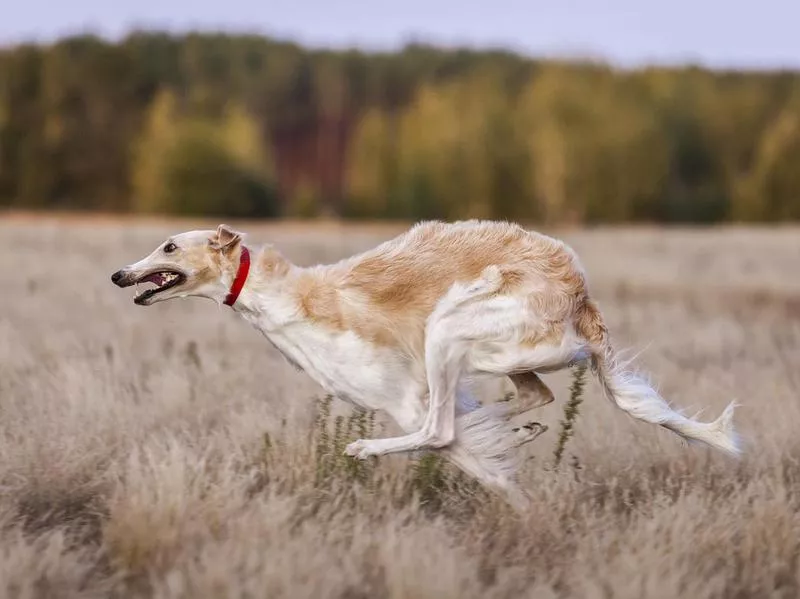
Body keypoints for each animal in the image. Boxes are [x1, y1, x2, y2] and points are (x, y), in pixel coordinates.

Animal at [109, 220, 740, 510]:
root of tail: (583, 302)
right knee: (532, 399)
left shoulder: (403, 397)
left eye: (169, 247)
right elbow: (475, 437)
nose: (118, 274)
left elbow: (455, 444)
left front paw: (524, 510)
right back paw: (519, 427)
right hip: (496, 351)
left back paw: (366, 448)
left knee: (443, 428)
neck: (289, 299)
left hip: (453, 327)